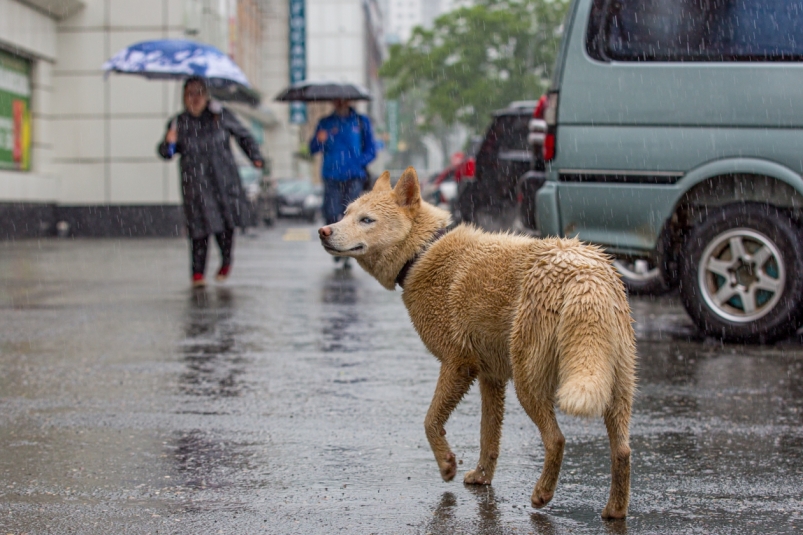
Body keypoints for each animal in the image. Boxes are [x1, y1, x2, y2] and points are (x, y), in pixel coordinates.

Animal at [318, 168, 636, 520]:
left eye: (367, 220)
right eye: (345, 214)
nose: (323, 231)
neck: (423, 251)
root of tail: (586, 277)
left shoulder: (457, 365)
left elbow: (430, 422)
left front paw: (447, 465)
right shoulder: (490, 377)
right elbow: (489, 435)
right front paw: (482, 477)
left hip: (529, 382)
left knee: (556, 439)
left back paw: (542, 494)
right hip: (615, 387)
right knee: (622, 450)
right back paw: (615, 510)